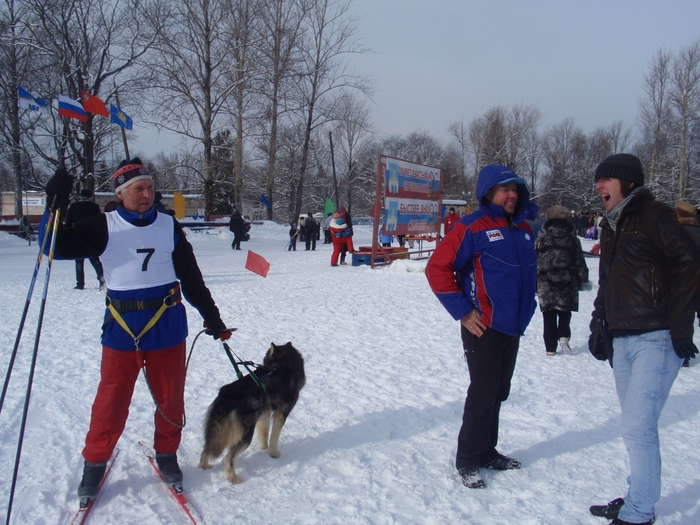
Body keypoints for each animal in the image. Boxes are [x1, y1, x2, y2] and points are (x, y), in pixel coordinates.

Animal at [198, 342, 304, 482]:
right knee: (229, 457)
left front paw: (263, 448)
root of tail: (226, 395)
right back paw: (233, 478)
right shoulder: (281, 414)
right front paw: (273, 453)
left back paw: (204, 467)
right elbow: (274, 437)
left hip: (216, 433)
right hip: (245, 435)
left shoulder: (264, 413)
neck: (280, 366)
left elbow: (264, 433)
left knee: (206, 450)